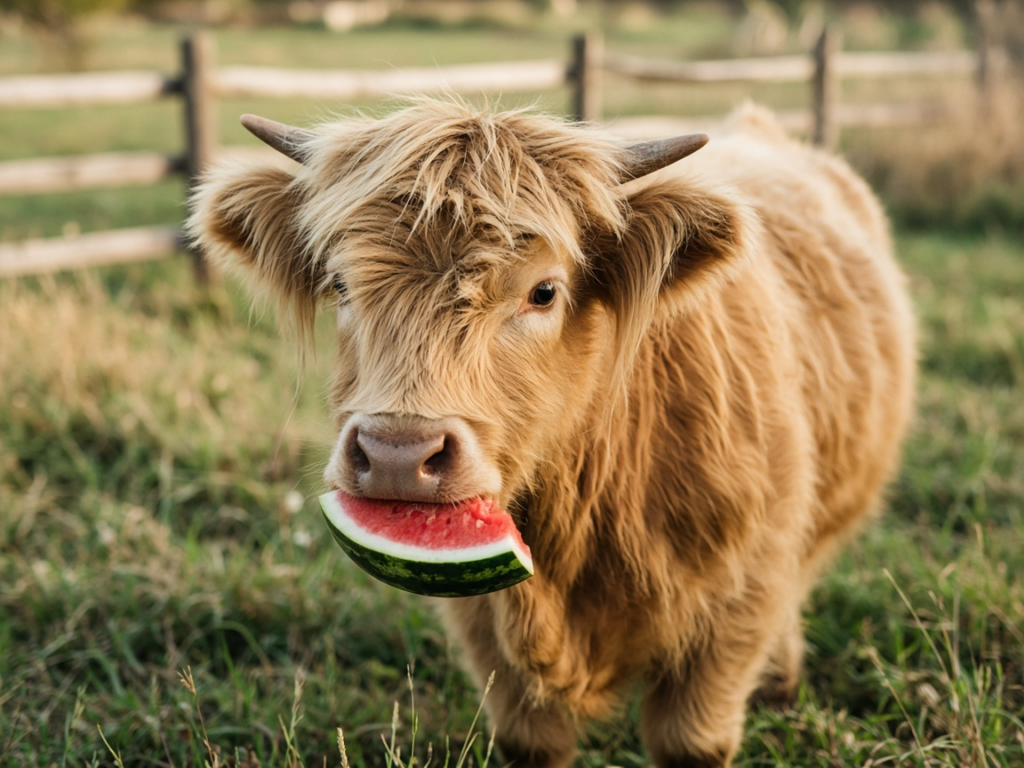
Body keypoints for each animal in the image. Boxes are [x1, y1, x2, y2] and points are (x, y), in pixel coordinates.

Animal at [188, 99, 916, 768]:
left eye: (543, 292)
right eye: (341, 284)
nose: (398, 454)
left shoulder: (740, 598)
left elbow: (693, 740)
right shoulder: (486, 630)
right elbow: (530, 739)